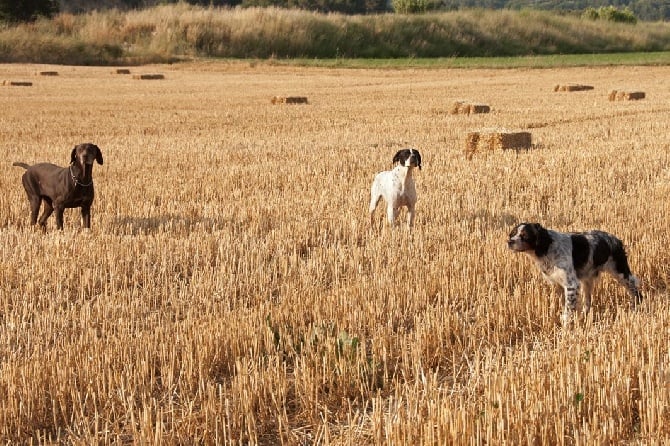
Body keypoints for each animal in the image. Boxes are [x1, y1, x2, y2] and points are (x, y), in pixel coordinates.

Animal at [510, 222, 644, 324]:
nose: (509, 241)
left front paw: (565, 328)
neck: (547, 247)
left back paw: (636, 308)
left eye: (524, 235)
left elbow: (568, 310)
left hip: (620, 273)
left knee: (635, 291)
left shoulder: (571, 284)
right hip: (587, 281)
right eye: (513, 233)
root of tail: (616, 240)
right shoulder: (558, 284)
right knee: (588, 302)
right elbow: (565, 305)